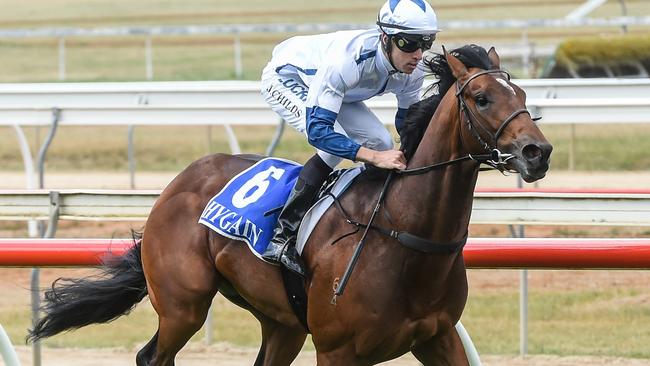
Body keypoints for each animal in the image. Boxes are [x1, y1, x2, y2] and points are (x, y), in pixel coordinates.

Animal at [27, 44, 548, 364]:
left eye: (522, 92)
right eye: (481, 98)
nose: (537, 152)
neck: (403, 235)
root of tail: (180, 182)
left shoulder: (439, 337)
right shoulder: (337, 351)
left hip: (282, 323)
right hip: (182, 306)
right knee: (153, 355)